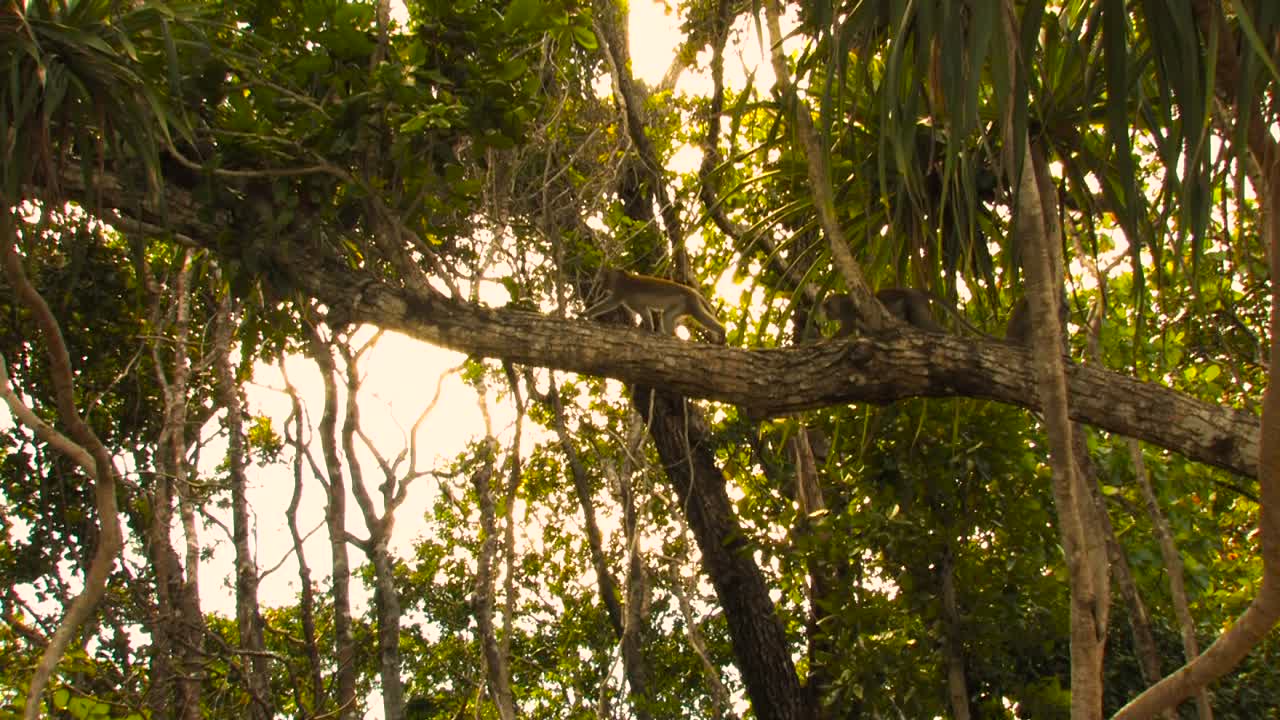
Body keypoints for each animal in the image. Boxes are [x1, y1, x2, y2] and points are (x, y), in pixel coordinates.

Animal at [584, 268, 727, 343]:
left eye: (605, 279)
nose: (601, 285)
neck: (622, 278)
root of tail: (692, 291)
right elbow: (645, 312)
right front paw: (649, 330)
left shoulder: (621, 291)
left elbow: (610, 303)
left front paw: (586, 313)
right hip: (683, 305)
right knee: (667, 316)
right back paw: (671, 336)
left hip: (691, 302)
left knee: (699, 315)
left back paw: (722, 330)